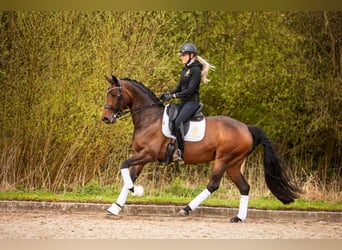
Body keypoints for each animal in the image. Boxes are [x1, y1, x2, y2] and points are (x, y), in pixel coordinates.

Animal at [101, 74, 300, 223]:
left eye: (114, 95)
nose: (105, 118)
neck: (149, 118)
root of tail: (246, 128)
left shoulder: (147, 154)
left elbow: (123, 167)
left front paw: (136, 190)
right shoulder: (140, 155)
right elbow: (129, 175)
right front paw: (115, 208)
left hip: (223, 159)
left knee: (213, 184)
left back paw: (186, 209)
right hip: (234, 163)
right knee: (244, 186)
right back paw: (238, 217)